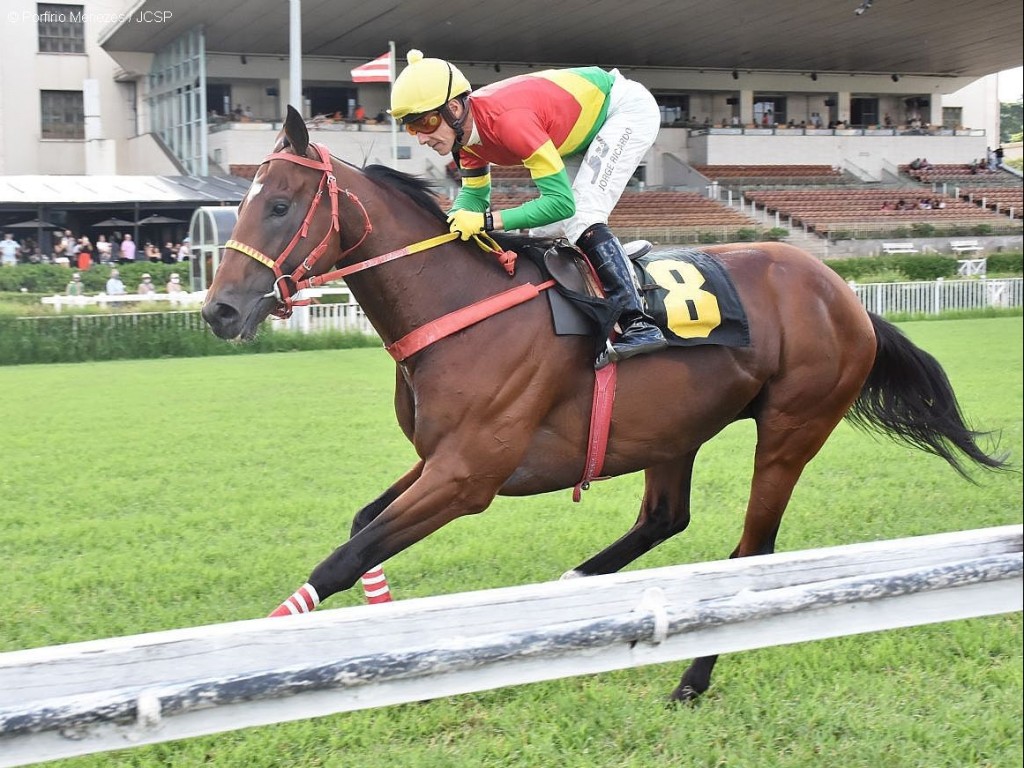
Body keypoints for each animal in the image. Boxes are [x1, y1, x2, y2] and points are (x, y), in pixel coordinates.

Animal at [203, 108, 1003, 704]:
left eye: (279, 205)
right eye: (241, 203)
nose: (218, 311)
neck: (460, 305)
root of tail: (844, 295)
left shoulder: (468, 475)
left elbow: (346, 554)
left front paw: (256, 643)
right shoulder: (438, 458)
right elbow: (364, 527)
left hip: (791, 427)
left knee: (751, 550)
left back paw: (691, 679)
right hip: (672, 430)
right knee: (665, 518)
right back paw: (578, 587)